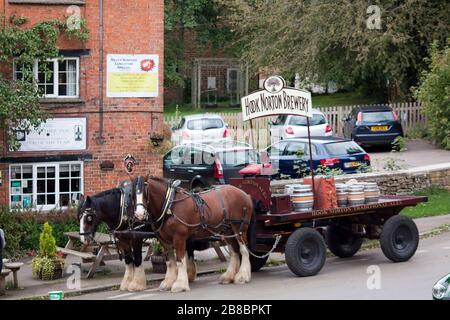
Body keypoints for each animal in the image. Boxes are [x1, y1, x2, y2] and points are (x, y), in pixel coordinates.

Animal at [77, 185, 209, 292]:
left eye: (89, 217)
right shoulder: (123, 241)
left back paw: (188, 275)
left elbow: (137, 259)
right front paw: (126, 282)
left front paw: (137, 284)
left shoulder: (136, 238)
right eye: (78, 216)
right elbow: (128, 261)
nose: (84, 240)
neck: (123, 209)